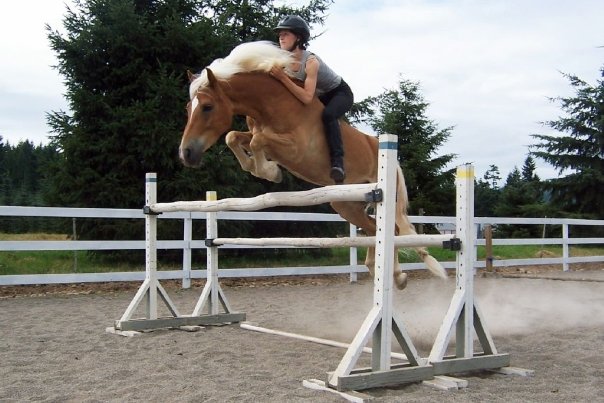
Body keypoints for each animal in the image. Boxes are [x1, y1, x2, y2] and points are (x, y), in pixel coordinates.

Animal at [179, 41, 446, 289]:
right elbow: (233, 136)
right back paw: (386, 272)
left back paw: (396, 276)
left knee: (392, 232)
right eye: (188, 108)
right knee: (375, 229)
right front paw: (262, 168)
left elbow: (257, 140)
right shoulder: (258, 134)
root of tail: (380, 146)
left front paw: (269, 172)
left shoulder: (295, 150)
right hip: (347, 204)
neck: (271, 104)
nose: (186, 154)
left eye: (208, 107)